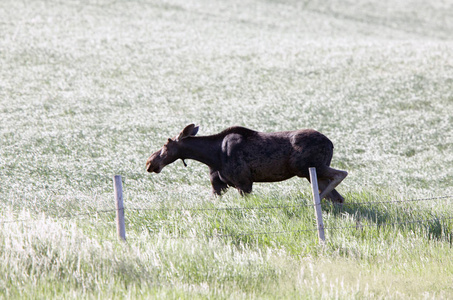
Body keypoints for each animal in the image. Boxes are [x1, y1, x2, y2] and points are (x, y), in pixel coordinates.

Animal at [145, 123, 346, 203]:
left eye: (166, 143)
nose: (149, 162)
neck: (211, 157)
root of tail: (331, 143)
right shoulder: (218, 186)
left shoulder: (244, 182)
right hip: (311, 173)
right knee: (338, 197)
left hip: (306, 167)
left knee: (341, 174)